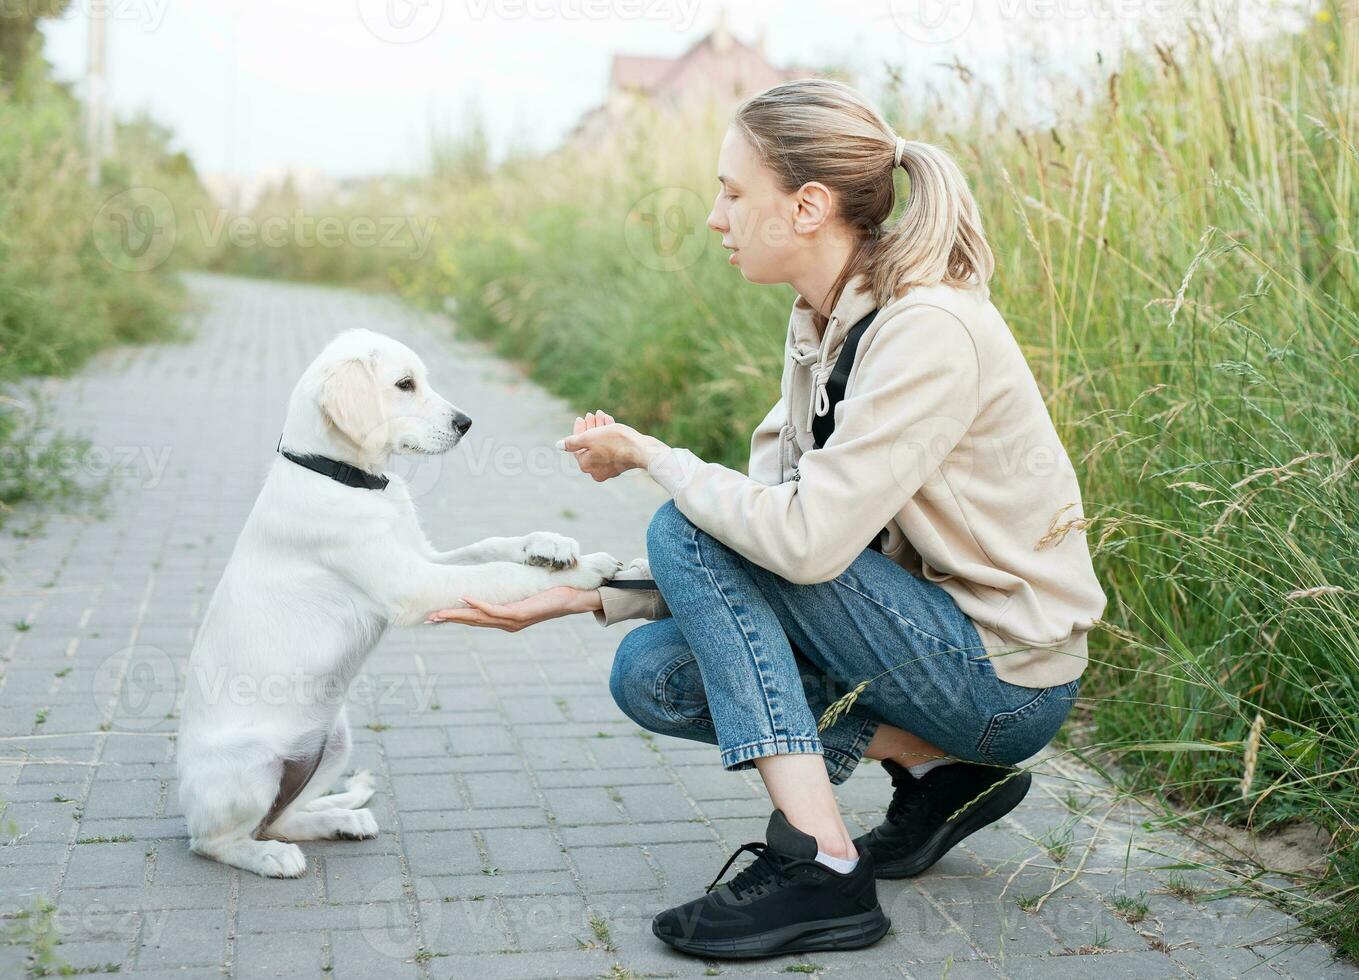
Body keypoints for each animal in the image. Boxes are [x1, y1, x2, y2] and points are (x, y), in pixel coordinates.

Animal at [175, 330, 616, 880]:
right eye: (405, 384)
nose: (466, 423)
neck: (341, 476)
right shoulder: (415, 582)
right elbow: (499, 573)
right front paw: (587, 568)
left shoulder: (425, 557)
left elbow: (492, 547)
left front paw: (550, 545)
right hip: (251, 766)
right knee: (220, 840)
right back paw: (270, 856)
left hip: (333, 740)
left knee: (283, 817)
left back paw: (342, 816)